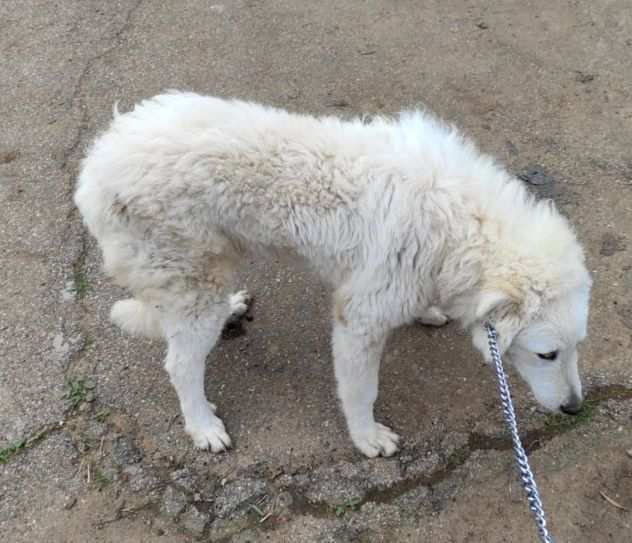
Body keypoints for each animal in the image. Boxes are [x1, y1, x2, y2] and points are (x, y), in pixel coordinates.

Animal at [75, 93, 592, 460]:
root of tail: (96, 167)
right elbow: (361, 391)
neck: (464, 224)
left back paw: (232, 310)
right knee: (180, 365)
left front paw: (429, 310)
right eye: (546, 354)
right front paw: (367, 439)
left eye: (576, 348)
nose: (574, 408)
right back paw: (203, 426)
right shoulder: (360, 318)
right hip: (192, 287)